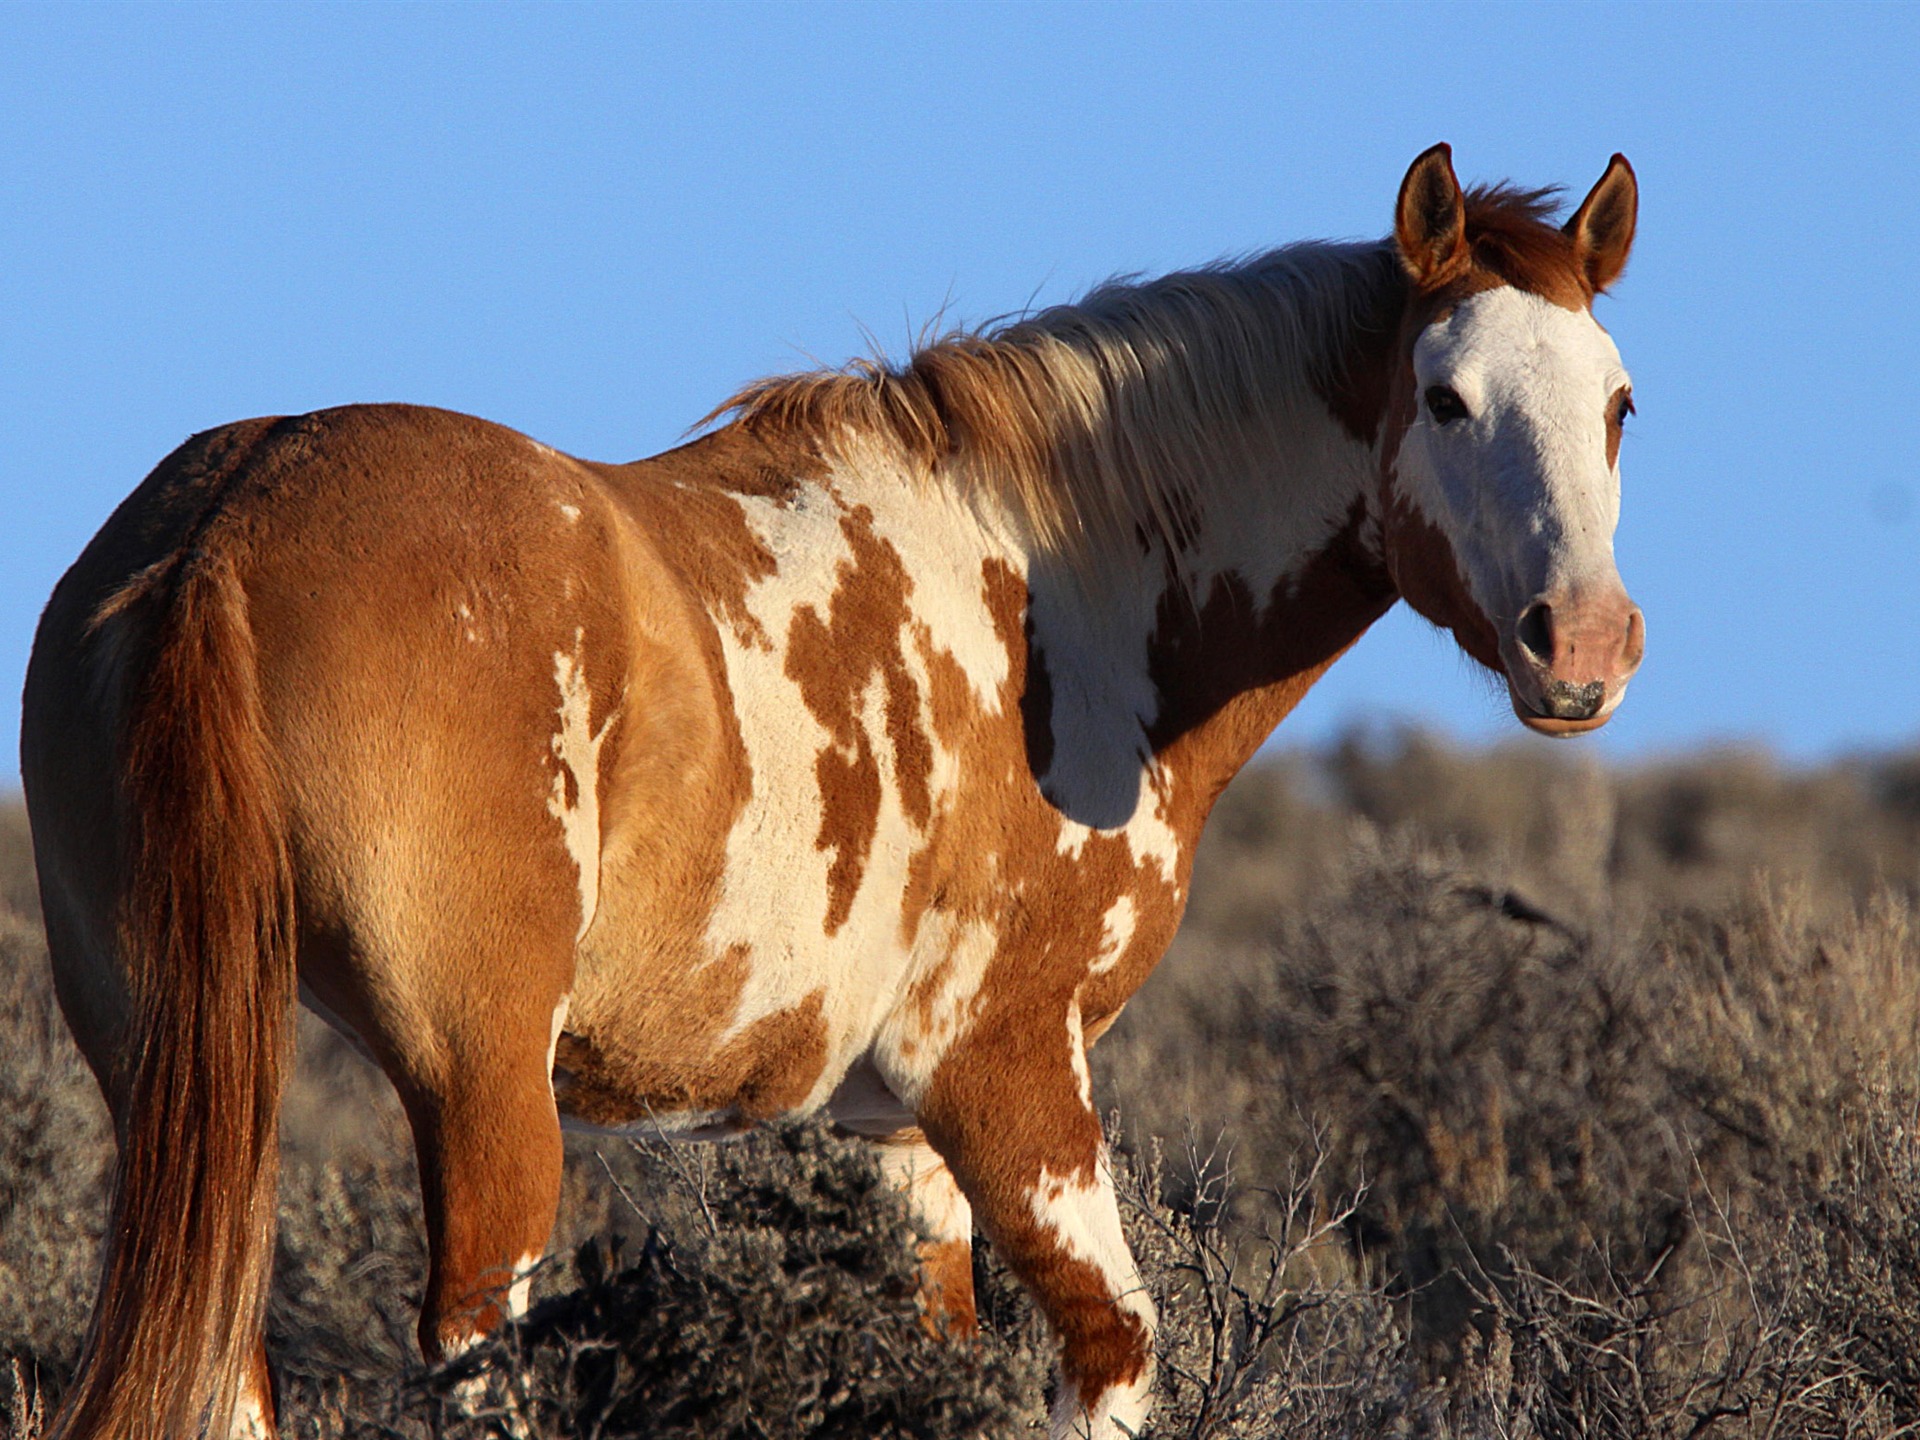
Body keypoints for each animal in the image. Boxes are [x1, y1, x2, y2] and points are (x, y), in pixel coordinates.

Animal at [22, 144, 1643, 1440]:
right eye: (1444, 397)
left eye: (1621, 403)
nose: (1583, 644)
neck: (1062, 594)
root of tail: (227, 528)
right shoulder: (1007, 1073)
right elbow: (1114, 1354)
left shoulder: (894, 1138)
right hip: (478, 1086)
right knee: (473, 1356)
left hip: (178, 1064)